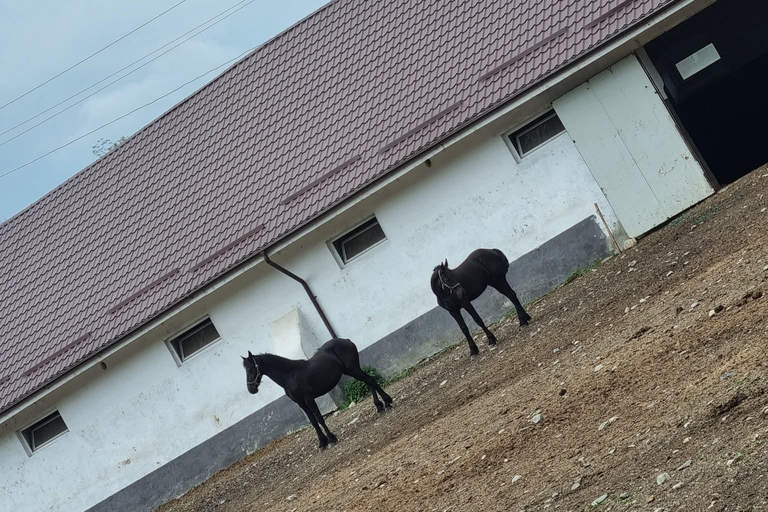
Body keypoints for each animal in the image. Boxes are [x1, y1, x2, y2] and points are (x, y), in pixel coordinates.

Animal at [241, 338, 392, 449]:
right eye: (246, 370)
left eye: (250, 369)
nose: (251, 389)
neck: (290, 375)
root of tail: (346, 340)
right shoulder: (301, 403)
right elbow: (313, 420)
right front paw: (322, 442)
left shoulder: (309, 399)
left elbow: (319, 418)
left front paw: (331, 438)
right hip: (351, 371)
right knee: (369, 381)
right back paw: (379, 406)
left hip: (353, 369)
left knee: (370, 380)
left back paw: (387, 402)